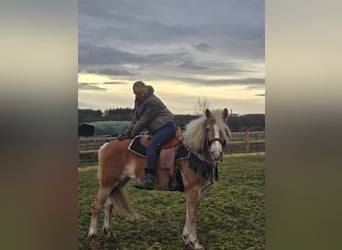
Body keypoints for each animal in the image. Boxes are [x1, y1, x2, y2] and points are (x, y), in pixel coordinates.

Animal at [87, 108, 230, 250]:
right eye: (207, 129)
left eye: (225, 129)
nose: (216, 153)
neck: (192, 152)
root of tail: (105, 146)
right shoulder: (194, 189)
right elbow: (193, 215)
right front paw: (194, 242)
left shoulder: (194, 190)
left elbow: (188, 213)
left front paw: (186, 238)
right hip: (107, 184)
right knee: (97, 206)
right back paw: (93, 238)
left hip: (119, 182)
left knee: (108, 205)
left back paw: (109, 233)